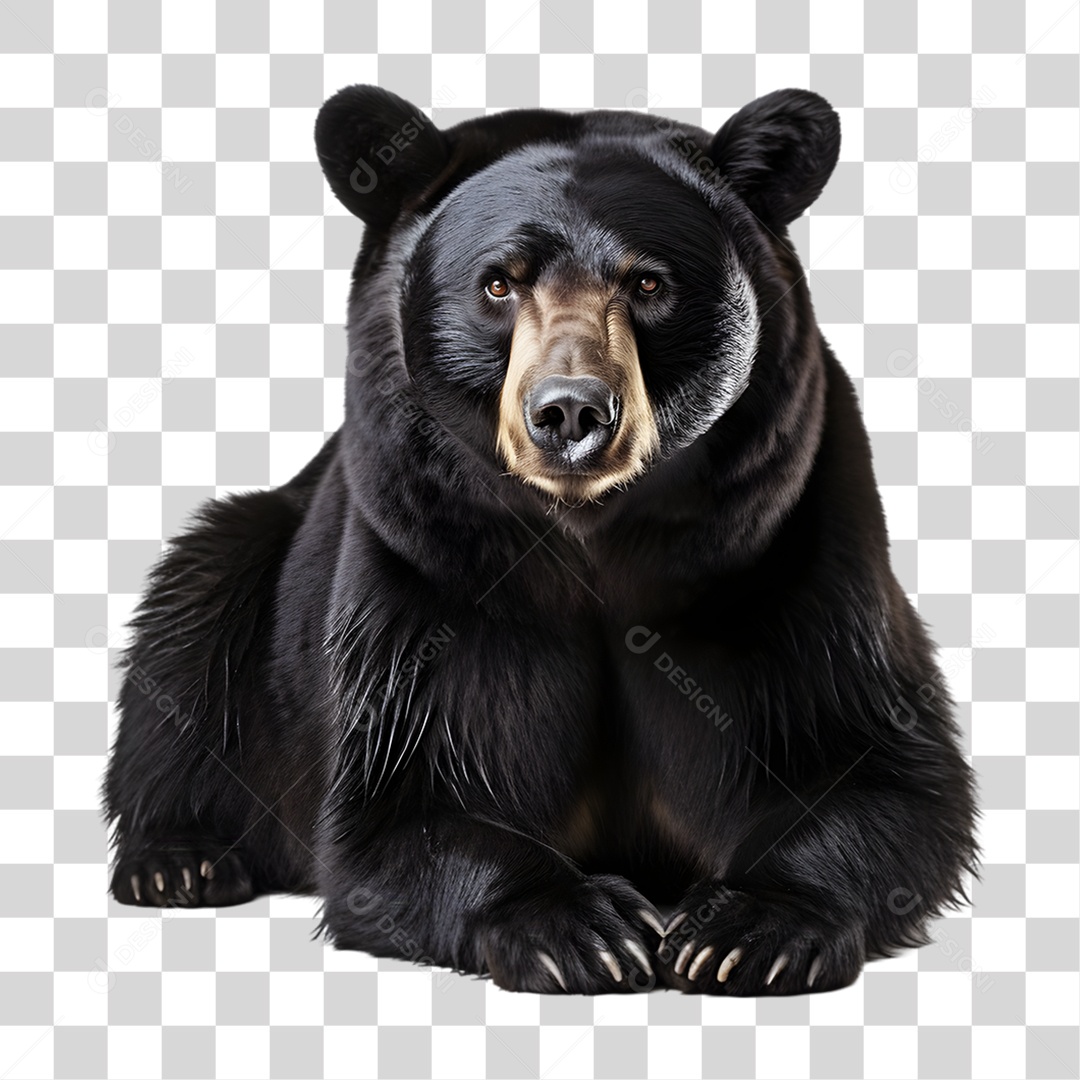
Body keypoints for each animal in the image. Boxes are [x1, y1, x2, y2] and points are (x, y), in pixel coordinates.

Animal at [103, 84, 980, 996]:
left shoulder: (791, 552)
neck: (593, 548)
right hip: (252, 565)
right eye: (498, 282)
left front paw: (750, 928)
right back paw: (180, 859)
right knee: (190, 618)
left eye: (648, 281)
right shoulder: (429, 580)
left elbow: (874, 768)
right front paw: (581, 926)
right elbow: (407, 802)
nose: (570, 411)